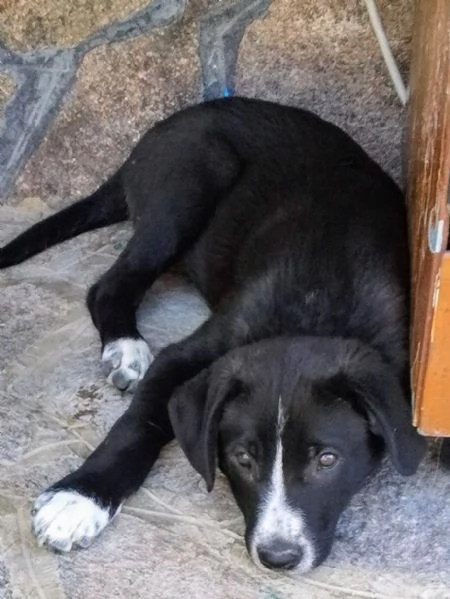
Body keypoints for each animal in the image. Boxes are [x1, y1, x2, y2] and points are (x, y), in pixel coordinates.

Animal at [0, 97, 426, 572]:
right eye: (242, 458)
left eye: (327, 460)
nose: (278, 557)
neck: (315, 308)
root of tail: (155, 134)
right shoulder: (192, 352)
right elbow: (135, 426)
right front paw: (79, 498)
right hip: (192, 180)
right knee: (109, 286)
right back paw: (125, 346)